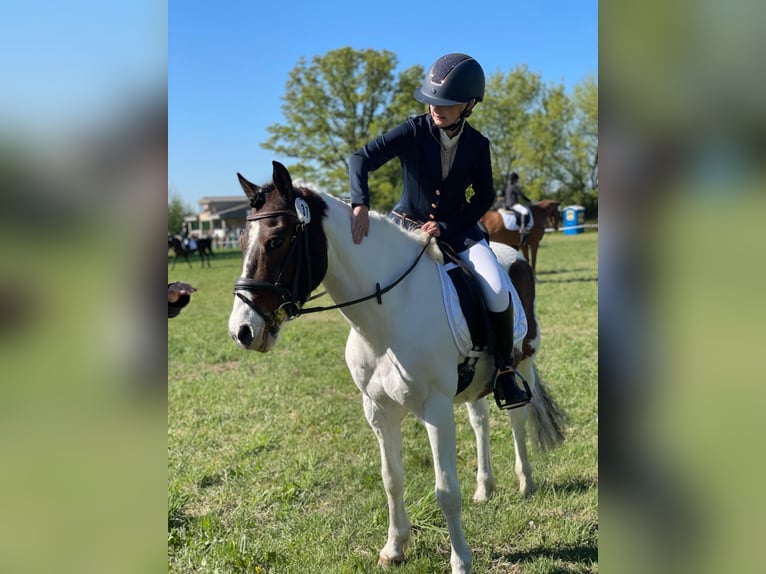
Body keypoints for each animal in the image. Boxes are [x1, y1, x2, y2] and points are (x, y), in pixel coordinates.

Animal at [228, 162, 566, 574]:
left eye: (276, 241)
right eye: (241, 241)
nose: (242, 331)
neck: (386, 314)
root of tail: (512, 254)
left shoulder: (435, 410)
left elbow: (445, 490)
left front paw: (460, 561)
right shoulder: (378, 411)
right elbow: (392, 479)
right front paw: (394, 548)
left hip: (522, 361)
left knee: (517, 418)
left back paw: (525, 482)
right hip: (474, 383)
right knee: (480, 421)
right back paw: (484, 488)